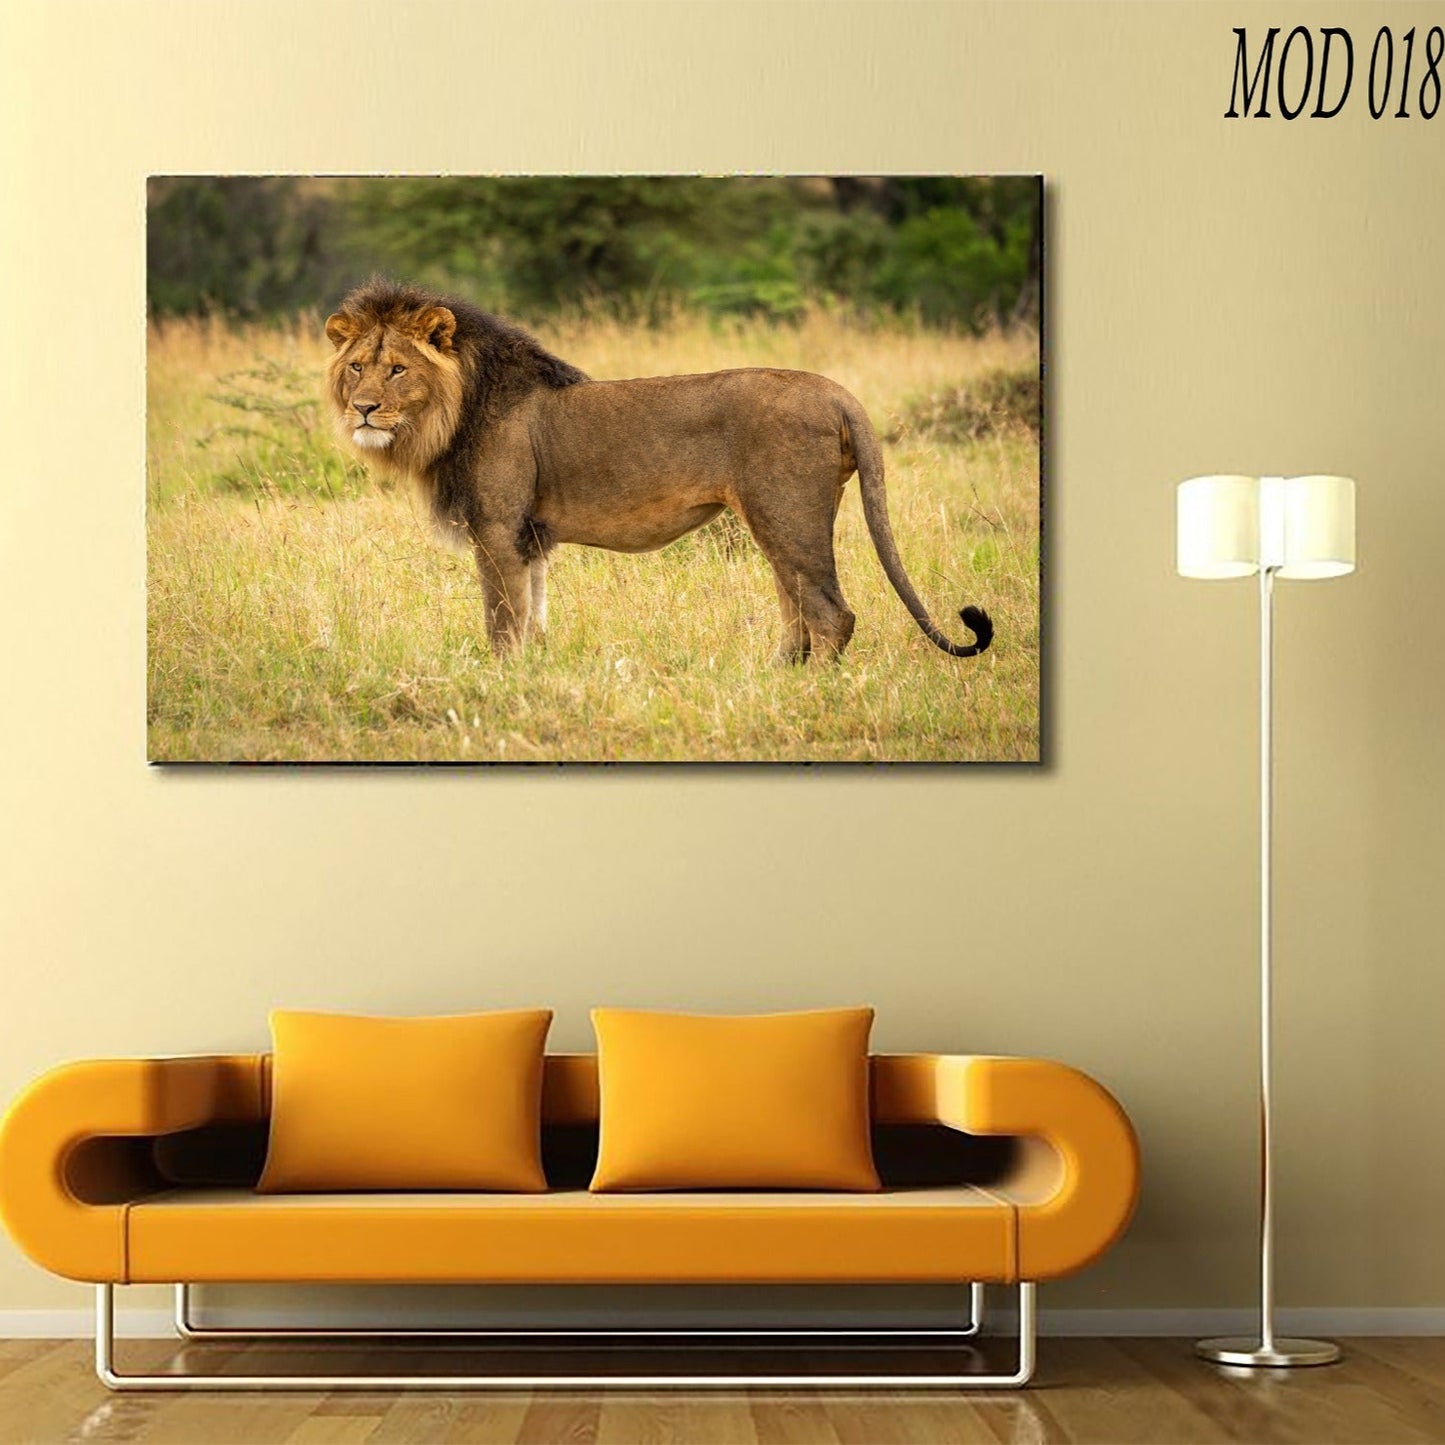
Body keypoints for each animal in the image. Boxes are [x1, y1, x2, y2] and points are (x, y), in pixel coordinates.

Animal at [324, 278, 993, 663]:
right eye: (356, 367)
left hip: (785, 513)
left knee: (831, 613)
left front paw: (502, 680)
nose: (364, 408)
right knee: (798, 606)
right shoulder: (530, 537)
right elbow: (534, 614)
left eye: (399, 370)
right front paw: (536, 672)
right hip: (781, 521)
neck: (454, 410)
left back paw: (810, 689)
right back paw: (776, 674)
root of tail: (836, 392)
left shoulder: (497, 527)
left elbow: (502, 619)